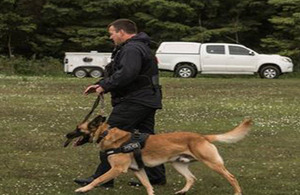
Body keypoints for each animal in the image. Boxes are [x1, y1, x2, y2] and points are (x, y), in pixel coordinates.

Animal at [65, 115, 251, 194]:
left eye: (78, 129)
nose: (66, 135)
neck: (106, 134)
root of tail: (202, 136)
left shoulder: (117, 169)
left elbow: (98, 179)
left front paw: (83, 188)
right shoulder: (138, 170)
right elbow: (148, 186)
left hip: (212, 163)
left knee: (231, 177)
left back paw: (237, 193)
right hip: (178, 164)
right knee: (191, 178)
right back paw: (181, 192)